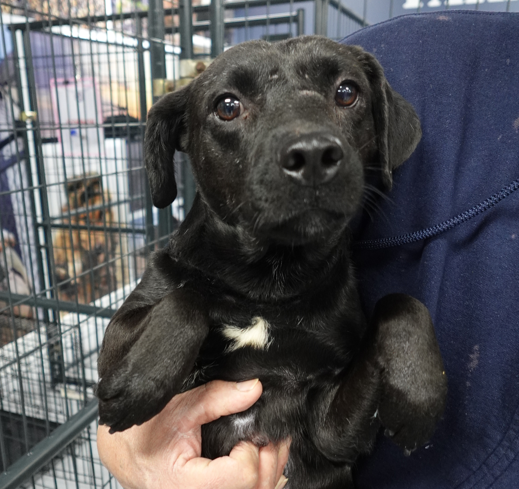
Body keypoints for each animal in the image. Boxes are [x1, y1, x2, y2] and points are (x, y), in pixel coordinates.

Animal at [97, 36, 447, 488]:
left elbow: (402, 302)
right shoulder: (117, 335)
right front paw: (142, 380)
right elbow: (186, 298)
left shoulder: (330, 429)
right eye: (227, 105)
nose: (313, 154)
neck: (268, 283)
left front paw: (419, 393)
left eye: (346, 92)